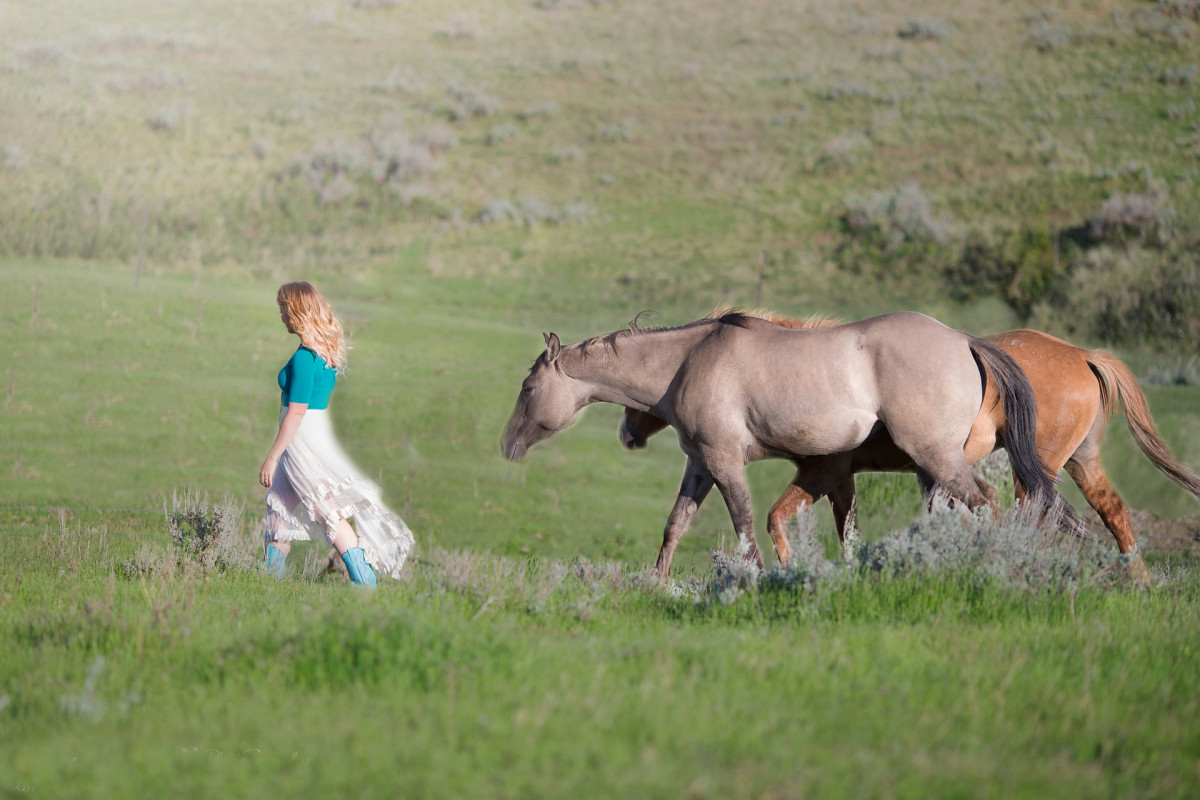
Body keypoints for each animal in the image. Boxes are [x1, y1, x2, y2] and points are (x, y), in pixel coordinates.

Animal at [501, 309, 1065, 578]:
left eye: (528, 389)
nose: (507, 446)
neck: (690, 361)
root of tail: (965, 341)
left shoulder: (727, 462)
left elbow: (746, 525)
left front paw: (755, 581)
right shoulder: (701, 465)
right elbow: (675, 526)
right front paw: (657, 583)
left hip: (937, 458)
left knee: (987, 502)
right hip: (932, 467)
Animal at [619, 319, 1200, 568]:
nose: (627, 433)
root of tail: (1081, 353)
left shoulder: (825, 472)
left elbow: (785, 520)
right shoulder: (840, 478)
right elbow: (842, 530)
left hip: (1036, 468)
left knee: (1037, 517)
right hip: (1079, 460)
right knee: (1113, 513)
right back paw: (1136, 582)